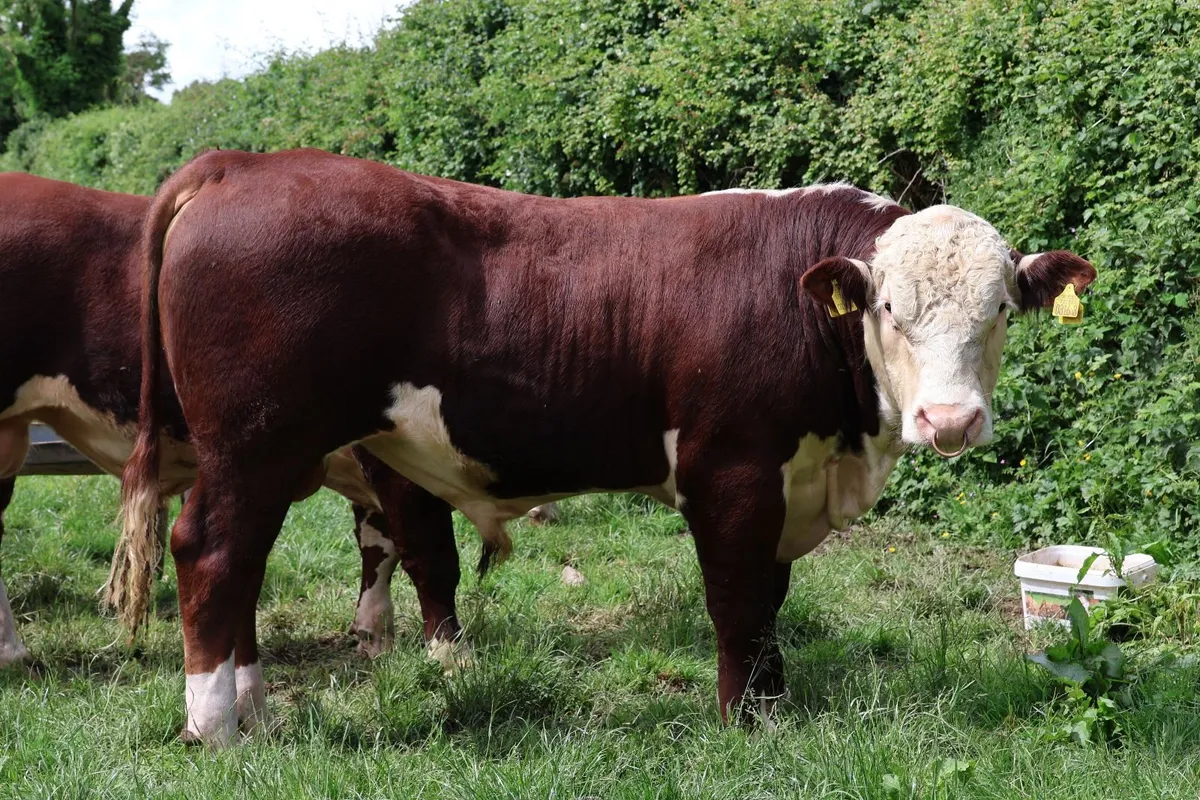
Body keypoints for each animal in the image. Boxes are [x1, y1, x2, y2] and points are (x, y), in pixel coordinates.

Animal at [111, 148, 1096, 746]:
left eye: (1000, 310)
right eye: (890, 309)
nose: (951, 421)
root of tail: (245, 163)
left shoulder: (790, 478)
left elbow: (771, 605)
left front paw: (775, 707)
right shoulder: (732, 473)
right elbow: (738, 604)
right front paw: (742, 722)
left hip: (258, 456)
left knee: (239, 563)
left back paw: (253, 705)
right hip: (256, 445)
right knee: (212, 553)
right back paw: (219, 726)